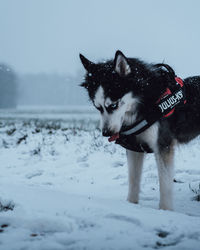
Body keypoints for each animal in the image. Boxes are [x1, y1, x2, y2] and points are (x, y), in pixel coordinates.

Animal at [79, 49, 200, 210]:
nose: (106, 133)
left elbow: (165, 186)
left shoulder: (163, 145)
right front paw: (132, 206)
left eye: (113, 105)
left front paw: (165, 210)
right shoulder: (134, 147)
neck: (146, 105)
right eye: (97, 107)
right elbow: (133, 180)